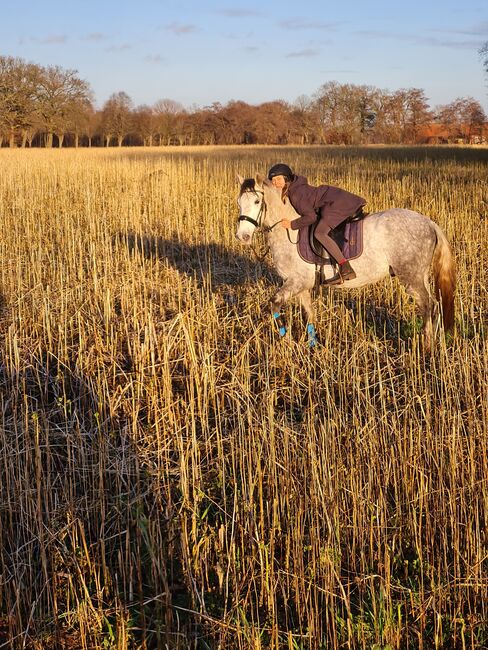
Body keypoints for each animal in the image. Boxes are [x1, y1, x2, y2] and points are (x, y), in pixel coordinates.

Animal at [237, 175, 458, 352]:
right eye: (239, 202)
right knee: (435, 304)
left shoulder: (297, 282)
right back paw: (436, 343)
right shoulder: (301, 286)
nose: (242, 237)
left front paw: (285, 339)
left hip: (410, 277)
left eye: (257, 201)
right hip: (420, 276)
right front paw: (312, 345)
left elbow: (274, 303)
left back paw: (427, 347)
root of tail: (429, 223)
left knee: (428, 306)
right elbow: (310, 314)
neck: (289, 231)